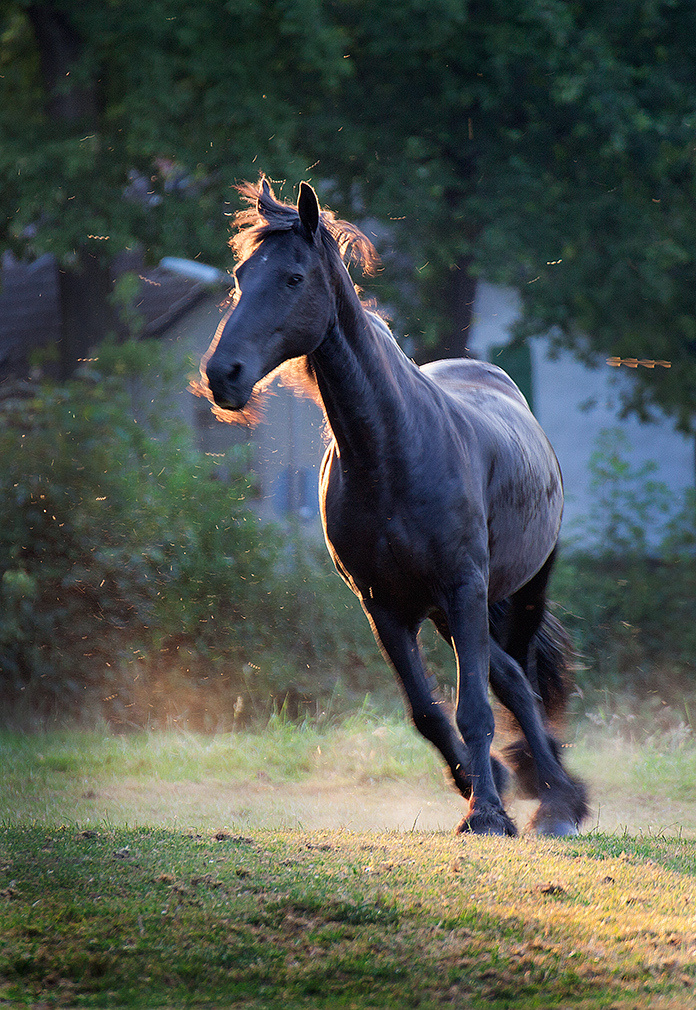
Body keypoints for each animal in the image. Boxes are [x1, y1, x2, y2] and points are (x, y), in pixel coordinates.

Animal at [199, 177, 588, 837]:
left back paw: (559, 801)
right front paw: (479, 787)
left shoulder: (461, 585)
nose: (221, 373)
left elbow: (474, 708)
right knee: (510, 679)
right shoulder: (384, 605)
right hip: (447, 609)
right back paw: (537, 788)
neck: (390, 453)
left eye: (293, 278)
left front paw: (487, 815)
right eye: (240, 274)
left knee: (519, 682)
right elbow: (428, 712)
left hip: (512, 594)